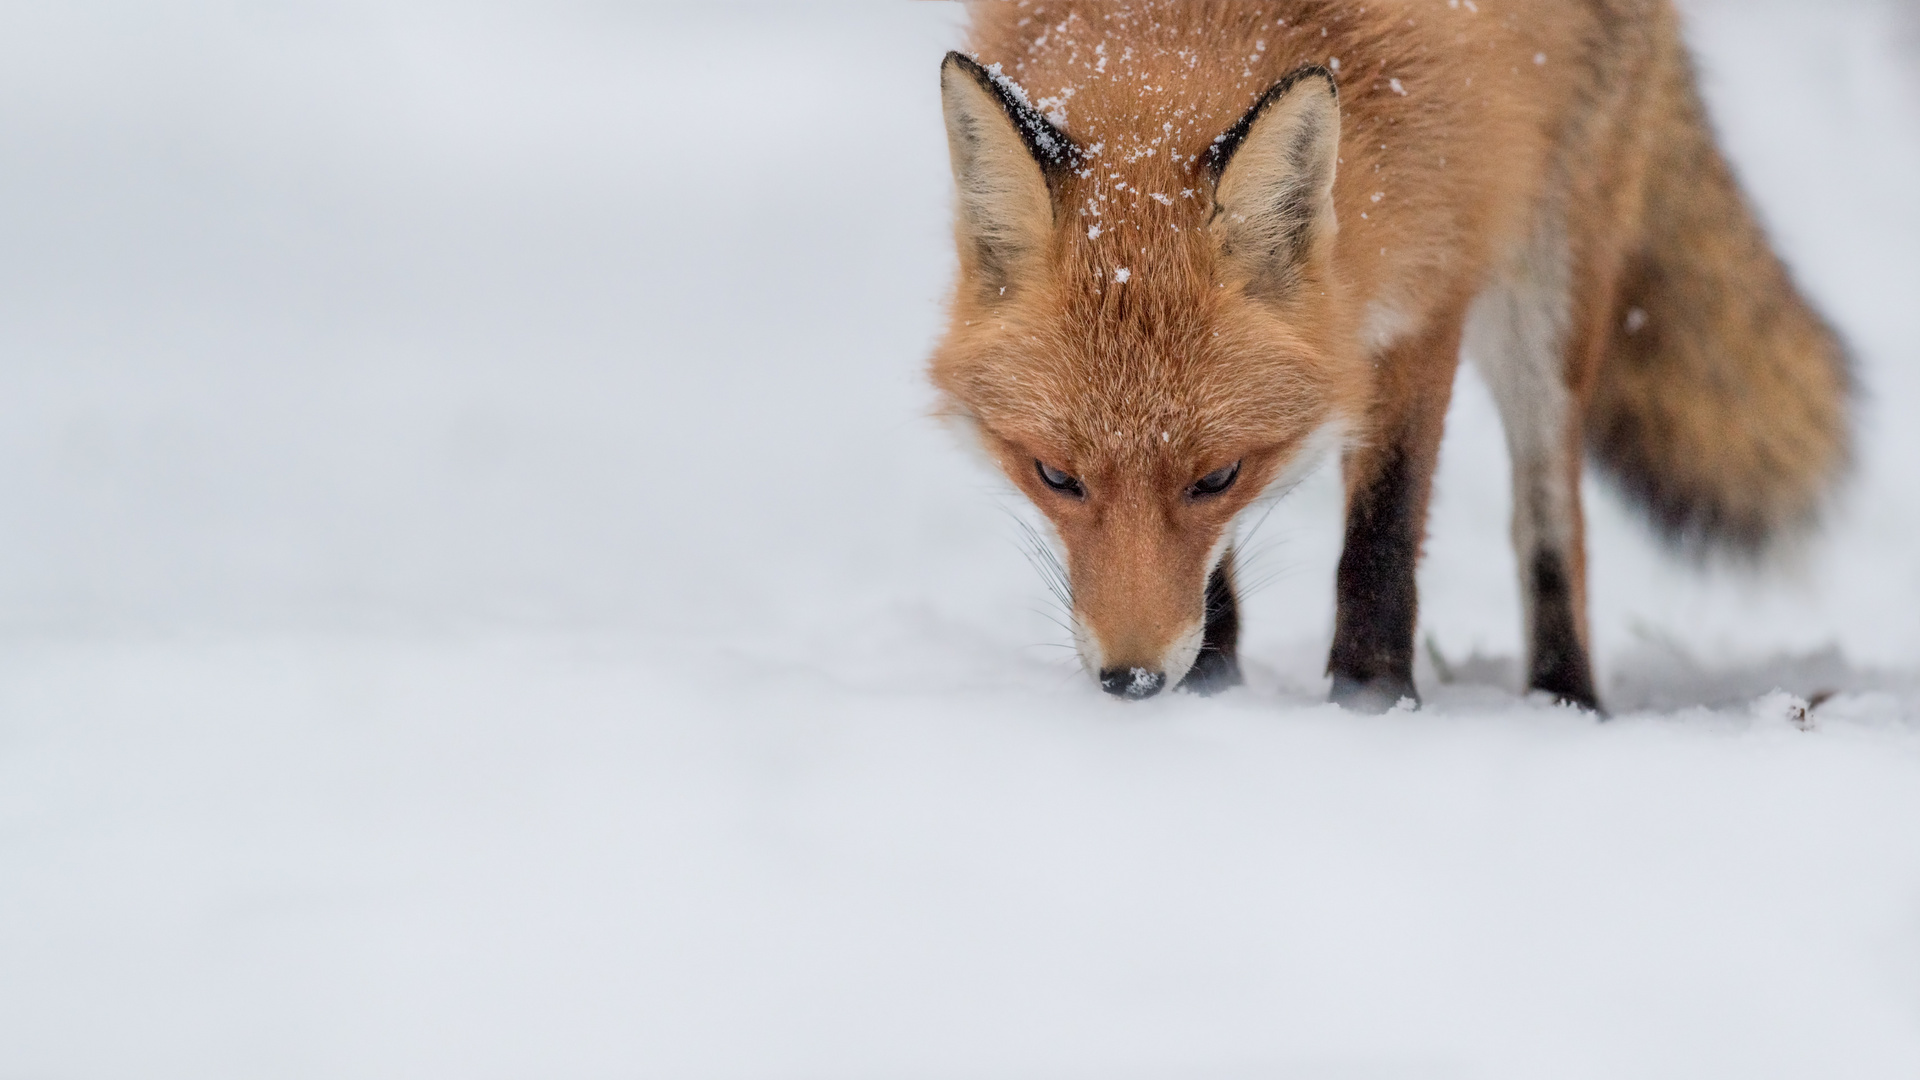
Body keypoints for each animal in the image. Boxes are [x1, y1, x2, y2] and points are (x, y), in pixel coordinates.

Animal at [929, 0, 1843, 711]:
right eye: (1056, 477)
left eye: (1217, 477)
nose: (1134, 682)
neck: (1177, 27)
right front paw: (1215, 686)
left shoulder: (1429, 295)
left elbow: (1384, 531)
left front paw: (1371, 700)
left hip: (1547, 280)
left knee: (1553, 521)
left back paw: (1566, 701)